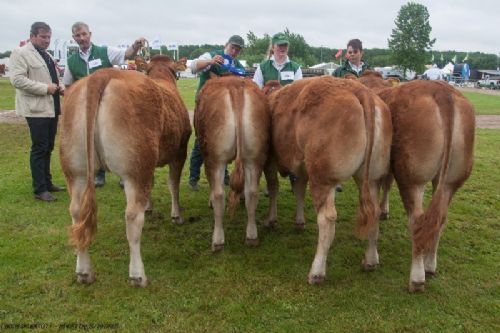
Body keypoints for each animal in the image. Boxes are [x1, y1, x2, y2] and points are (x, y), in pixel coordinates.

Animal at [59, 55, 191, 286]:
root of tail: (101, 75)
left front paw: (149, 206)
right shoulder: (179, 151)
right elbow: (173, 184)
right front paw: (176, 215)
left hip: (75, 170)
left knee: (76, 212)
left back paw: (84, 272)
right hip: (136, 167)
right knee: (132, 217)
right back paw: (138, 275)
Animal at [195, 75, 272, 250]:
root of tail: (235, 85)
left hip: (215, 158)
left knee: (219, 195)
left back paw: (217, 240)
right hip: (254, 157)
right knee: (252, 192)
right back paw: (252, 236)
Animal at [264, 76, 392, 282]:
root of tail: (358, 89)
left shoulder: (269, 161)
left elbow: (274, 188)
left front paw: (271, 219)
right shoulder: (302, 168)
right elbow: (299, 191)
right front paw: (299, 221)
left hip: (323, 178)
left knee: (327, 220)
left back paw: (317, 271)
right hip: (372, 177)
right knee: (373, 212)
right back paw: (371, 260)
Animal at [362, 70, 474, 290]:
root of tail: (442, 92)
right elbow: (387, 185)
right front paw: (385, 210)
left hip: (412, 176)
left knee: (417, 220)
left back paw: (416, 278)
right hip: (451, 180)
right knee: (439, 218)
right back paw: (430, 266)